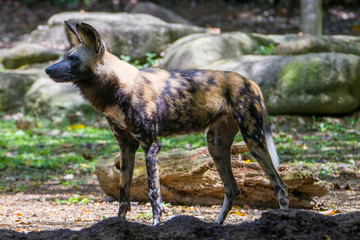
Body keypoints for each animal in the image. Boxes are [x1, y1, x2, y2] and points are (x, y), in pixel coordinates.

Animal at [45, 20, 288, 225]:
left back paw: (285, 220)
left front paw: (156, 225)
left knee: (281, 185)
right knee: (232, 189)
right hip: (216, 145)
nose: (47, 70)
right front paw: (118, 225)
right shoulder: (127, 147)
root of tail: (250, 81)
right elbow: (124, 194)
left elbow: (154, 194)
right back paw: (217, 225)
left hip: (253, 141)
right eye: (65, 56)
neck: (117, 87)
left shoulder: (151, 146)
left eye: (73, 59)